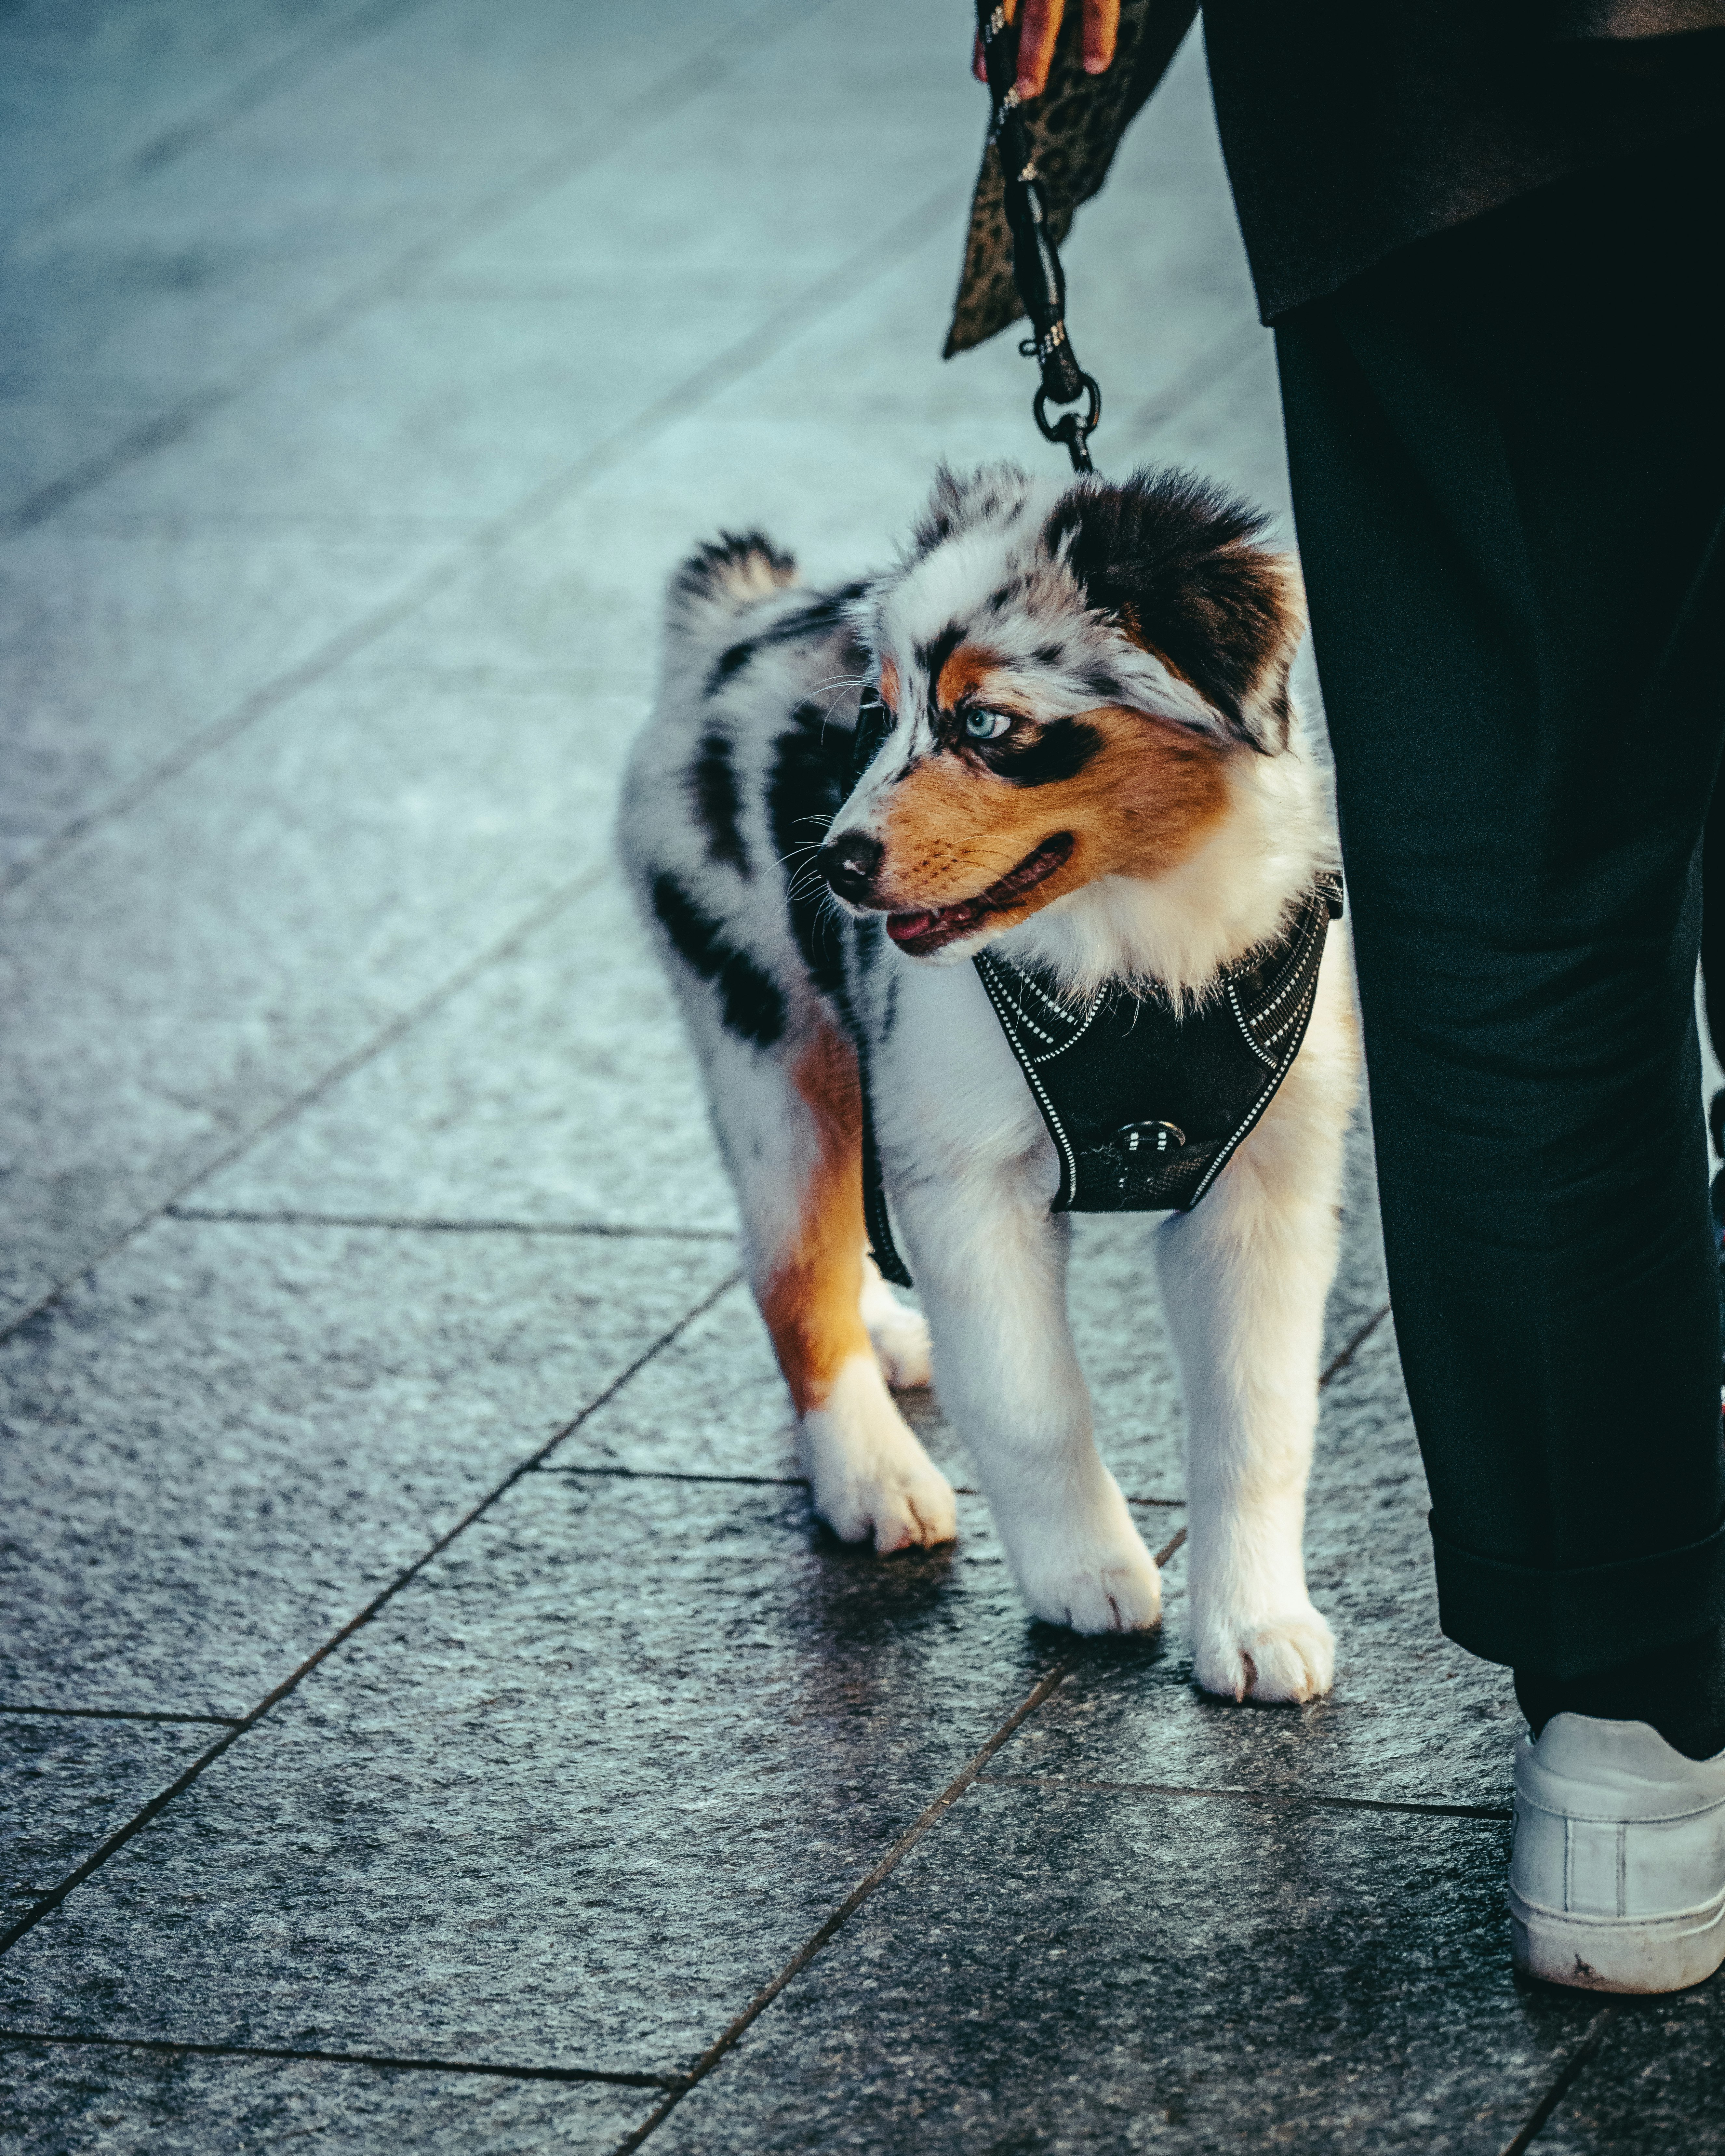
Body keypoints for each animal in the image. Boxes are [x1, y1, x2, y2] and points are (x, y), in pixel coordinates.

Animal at [621, 468, 1363, 1699]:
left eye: (984, 723)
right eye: (873, 713)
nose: (833, 863)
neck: (1131, 942)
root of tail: (728, 620)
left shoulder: (1263, 1184)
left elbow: (1260, 1421)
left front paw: (1258, 1624)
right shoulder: (966, 1177)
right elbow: (1027, 1403)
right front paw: (1086, 1576)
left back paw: (889, 1338)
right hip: (766, 1039)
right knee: (792, 1271)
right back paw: (873, 1477)